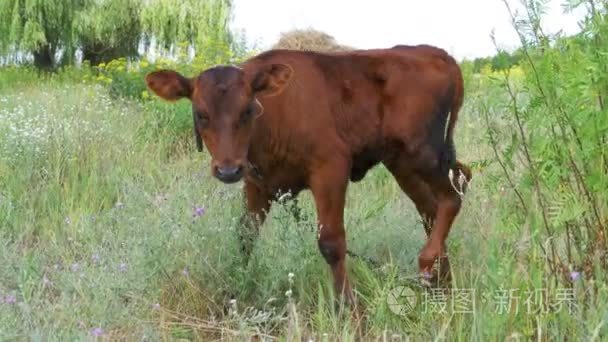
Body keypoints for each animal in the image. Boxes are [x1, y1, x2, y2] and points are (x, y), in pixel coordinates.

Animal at [146, 44, 470, 304]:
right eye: (201, 114)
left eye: (248, 110)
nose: (228, 169)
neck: (275, 117)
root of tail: (435, 52)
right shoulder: (257, 183)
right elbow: (245, 235)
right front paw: (237, 292)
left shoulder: (331, 169)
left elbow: (331, 243)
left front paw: (348, 309)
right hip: (401, 163)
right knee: (431, 211)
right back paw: (442, 287)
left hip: (424, 153)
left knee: (452, 197)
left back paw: (428, 263)